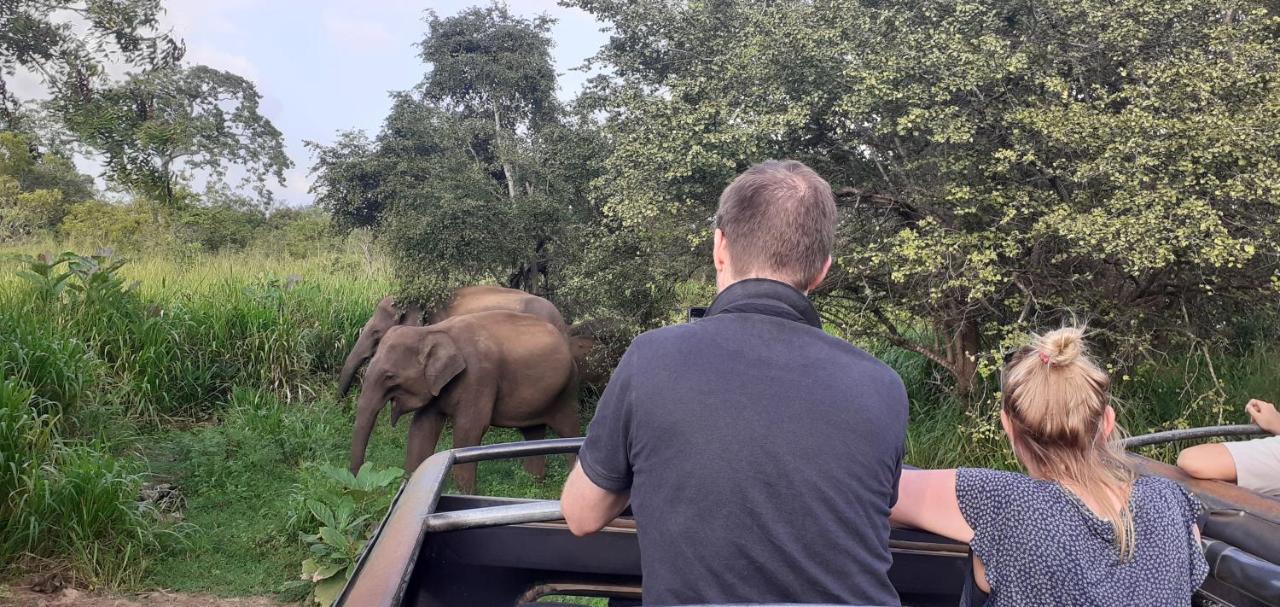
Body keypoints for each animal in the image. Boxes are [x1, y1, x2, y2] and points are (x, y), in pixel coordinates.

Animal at [345, 308, 576, 494]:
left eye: (390, 376)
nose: (357, 483)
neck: (431, 331)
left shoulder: (479, 376)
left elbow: (469, 429)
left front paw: (466, 494)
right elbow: (422, 427)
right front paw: (412, 487)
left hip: (567, 390)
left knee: (567, 431)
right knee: (532, 433)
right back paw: (533, 485)